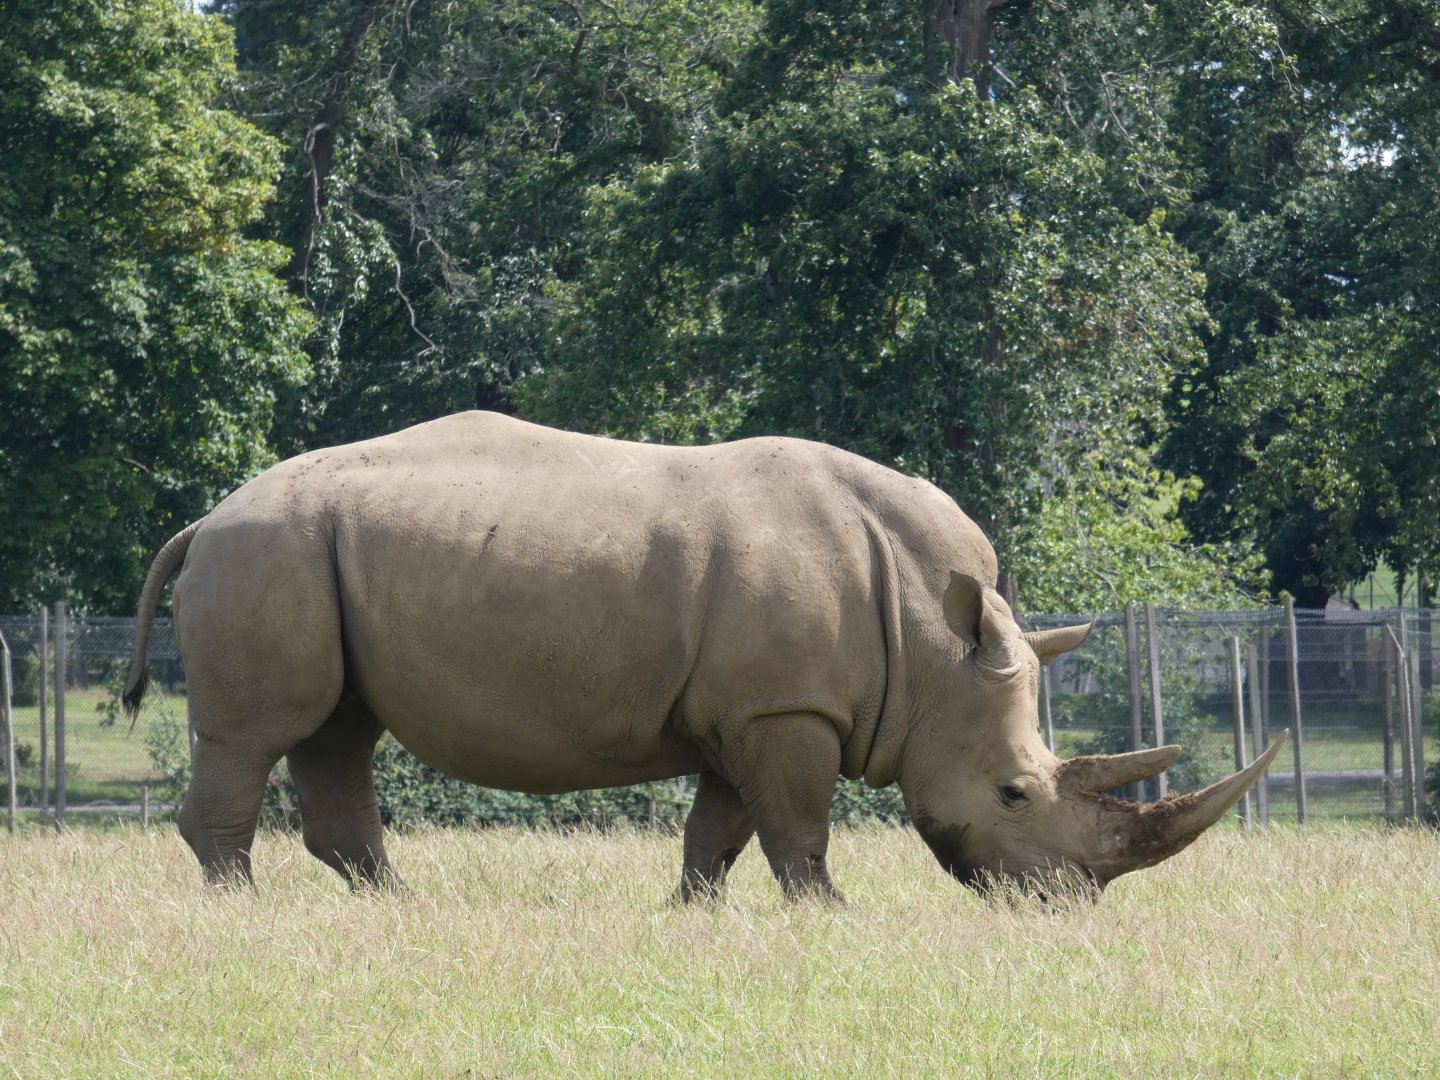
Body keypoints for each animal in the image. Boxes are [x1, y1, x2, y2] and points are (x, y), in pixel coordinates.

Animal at [123, 411, 1282, 900]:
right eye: (1012, 794)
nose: (1064, 904)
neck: (934, 643)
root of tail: (205, 516)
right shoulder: (787, 710)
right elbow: (799, 831)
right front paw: (829, 920)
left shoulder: (752, 708)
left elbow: (720, 833)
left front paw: (693, 918)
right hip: (267, 552)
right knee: (259, 734)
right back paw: (242, 911)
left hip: (311, 557)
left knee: (337, 730)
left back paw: (397, 911)